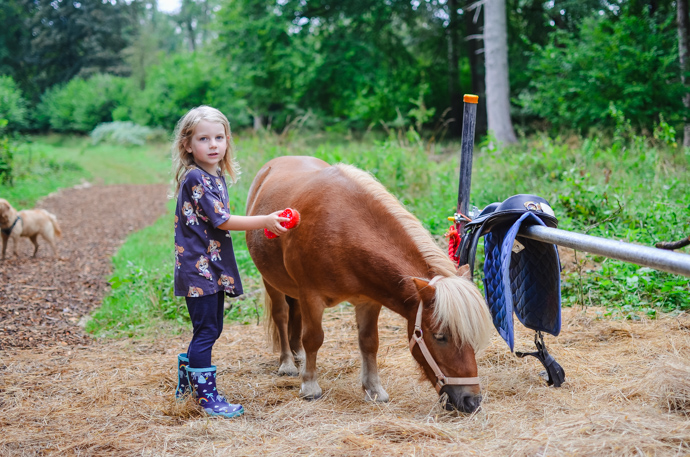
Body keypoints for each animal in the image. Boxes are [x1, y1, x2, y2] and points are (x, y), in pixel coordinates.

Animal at [245, 155, 492, 412]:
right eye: (440, 336)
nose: (472, 401)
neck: (341, 229)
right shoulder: (311, 297)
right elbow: (314, 338)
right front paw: (310, 386)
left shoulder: (369, 301)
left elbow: (369, 342)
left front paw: (373, 389)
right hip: (271, 282)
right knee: (282, 316)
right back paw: (287, 363)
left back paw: (298, 356)